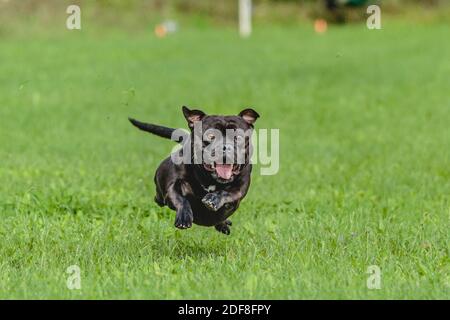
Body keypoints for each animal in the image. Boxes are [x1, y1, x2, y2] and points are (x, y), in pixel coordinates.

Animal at [128, 106, 258, 234]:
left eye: (238, 137)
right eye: (211, 136)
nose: (225, 147)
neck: (210, 179)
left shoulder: (240, 189)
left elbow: (227, 192)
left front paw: (213, 199)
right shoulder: (173, 186)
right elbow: (181, 199)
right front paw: (184, 218)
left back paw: (223, 224)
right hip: (160, 194)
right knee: (159, 199)